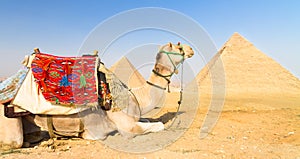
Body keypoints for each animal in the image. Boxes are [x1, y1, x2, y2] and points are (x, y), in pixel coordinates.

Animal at [0, 42, 195, 148]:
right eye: (179, 46)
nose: (191, 49)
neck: (135, 97)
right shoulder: (127, 127)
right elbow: (159, 125)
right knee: (15, 142)